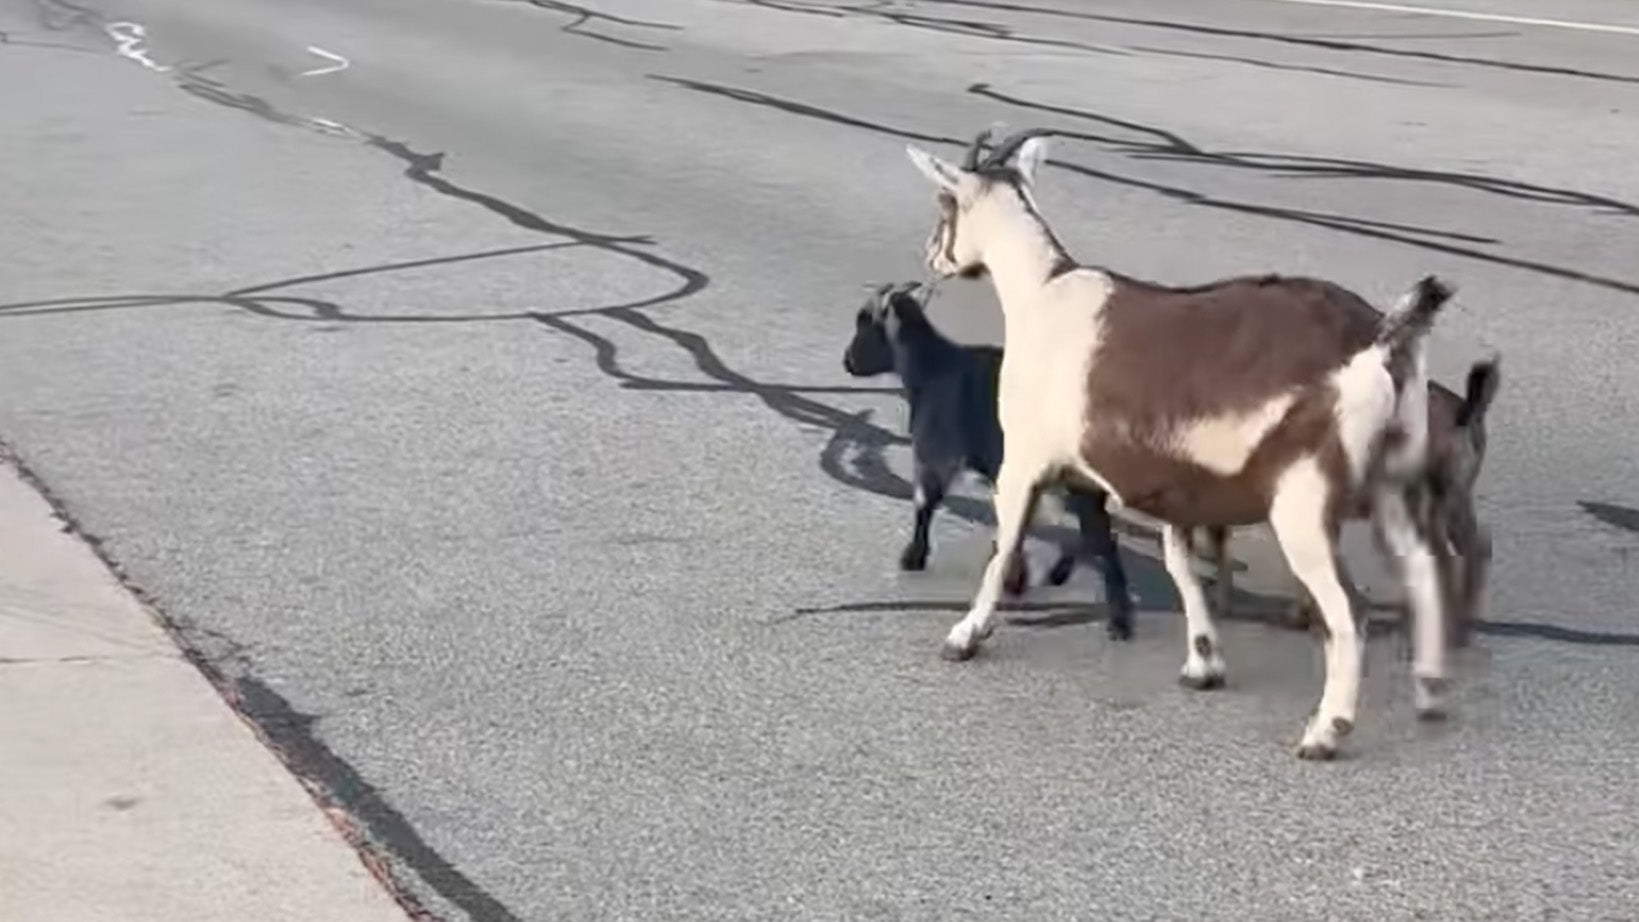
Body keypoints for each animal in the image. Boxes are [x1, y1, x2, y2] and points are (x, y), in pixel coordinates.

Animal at [841, 279, 1137, 640]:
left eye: (864, 321)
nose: (847, 361)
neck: (930, 368)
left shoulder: (935, 451)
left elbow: (925, 503)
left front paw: (913, 557)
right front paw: (1014, 577)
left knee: (1101, 539)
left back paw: (1117, 620)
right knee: (1098, 534)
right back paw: (1068, 579)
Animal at [904, 128, 1455, 760]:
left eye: (946, 203)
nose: (932, 255)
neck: (1042, 295)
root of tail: (1382, 342)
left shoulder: (1023, 460)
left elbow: (1004, 546)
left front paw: (965, 636)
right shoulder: (1174, 484)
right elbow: (1179, 566)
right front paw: (1203, 664)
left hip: (1303, 500)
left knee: (1350, 611)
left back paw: (1325, 731)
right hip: (1394, 483)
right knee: (1424, 572)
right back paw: (1431, 693)